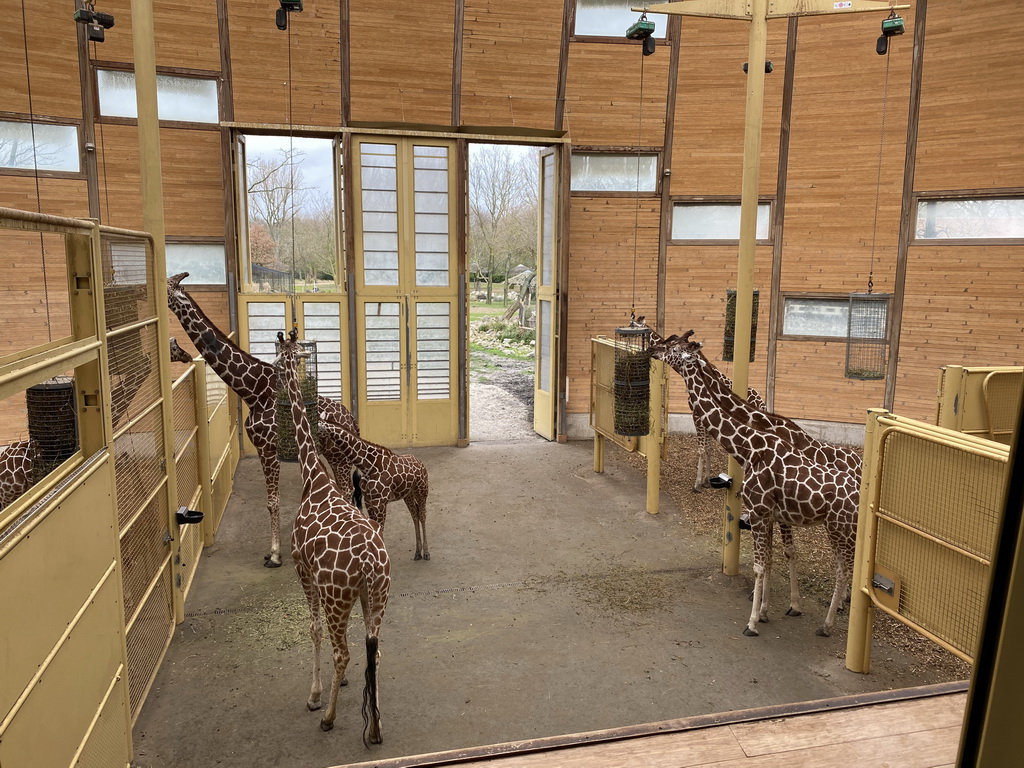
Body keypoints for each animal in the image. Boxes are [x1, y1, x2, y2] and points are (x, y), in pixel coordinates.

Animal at [164, 274, 286, 569]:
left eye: (167, 286)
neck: (254, 391)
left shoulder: (269, 448)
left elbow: (273, 502)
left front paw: (275, 555)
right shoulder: (263, 449)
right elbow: (272, 501)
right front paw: (273, 552)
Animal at [276, 331, 391, 745]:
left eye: (279, 358)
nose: (278, 374)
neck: (313, 478)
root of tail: (371, 563)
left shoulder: (301, 567)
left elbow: (311, 630)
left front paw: (313, 695)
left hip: (336, 596)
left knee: (344, 651)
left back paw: (328, 717)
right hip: (377, 594)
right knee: (374, 650)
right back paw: (375, 729)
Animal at [319, 417, 432, 561]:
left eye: (315, 429)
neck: (368, 466)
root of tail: (421, 464)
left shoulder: (380, 502)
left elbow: (380, 529)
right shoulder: (369, 501)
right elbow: (375, 527)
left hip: (421, 492)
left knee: (422, 515)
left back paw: (426, 553)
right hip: (408, 495)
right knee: (415, 515)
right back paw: (417, 552)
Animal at [651, 331, 860, 638]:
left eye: (674, 349)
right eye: (667, 345)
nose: (653, 351)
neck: (750, 448)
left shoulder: (762, 512)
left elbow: (765, 563)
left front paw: (756, 620)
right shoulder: (770, 514)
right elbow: (771, 559)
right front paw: (764, 611)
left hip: (838, 528)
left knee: (844, 569)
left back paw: (828, 623)